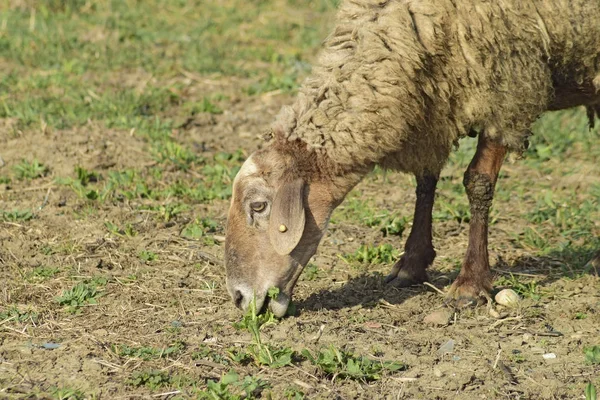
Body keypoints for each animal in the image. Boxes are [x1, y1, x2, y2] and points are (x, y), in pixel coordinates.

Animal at [223, 0, 596, 318]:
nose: (239, 297)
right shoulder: (433, 102)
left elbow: (478, 182)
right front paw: (412, 264)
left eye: (258, 206)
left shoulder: (508, 87)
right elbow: (425, 180)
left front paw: (470, 283)